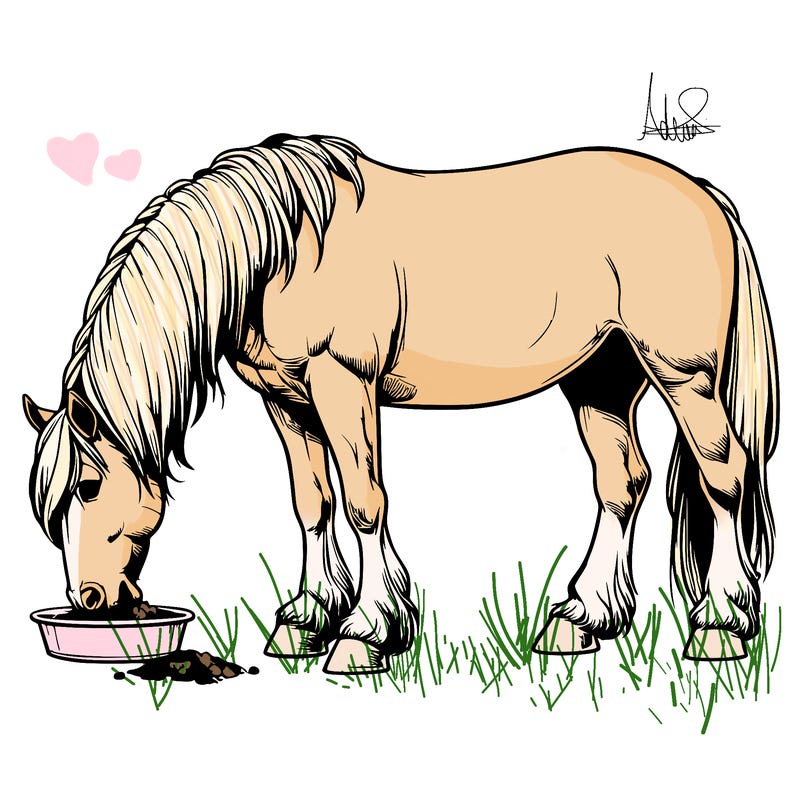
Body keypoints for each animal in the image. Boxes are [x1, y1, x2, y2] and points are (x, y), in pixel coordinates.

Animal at [23, 134, 778, 673]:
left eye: (86, 486)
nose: (90, 600)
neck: (283, 250)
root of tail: (704, 193)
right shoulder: (287, 400)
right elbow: (314, 502)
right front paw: (306, 619)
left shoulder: (343, 383)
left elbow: (364, 502)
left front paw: (365, 633)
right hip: (601, 379)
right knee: (623, 483)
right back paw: (581, 620)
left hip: (683, 376)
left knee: (724, 474)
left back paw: (721, 625)